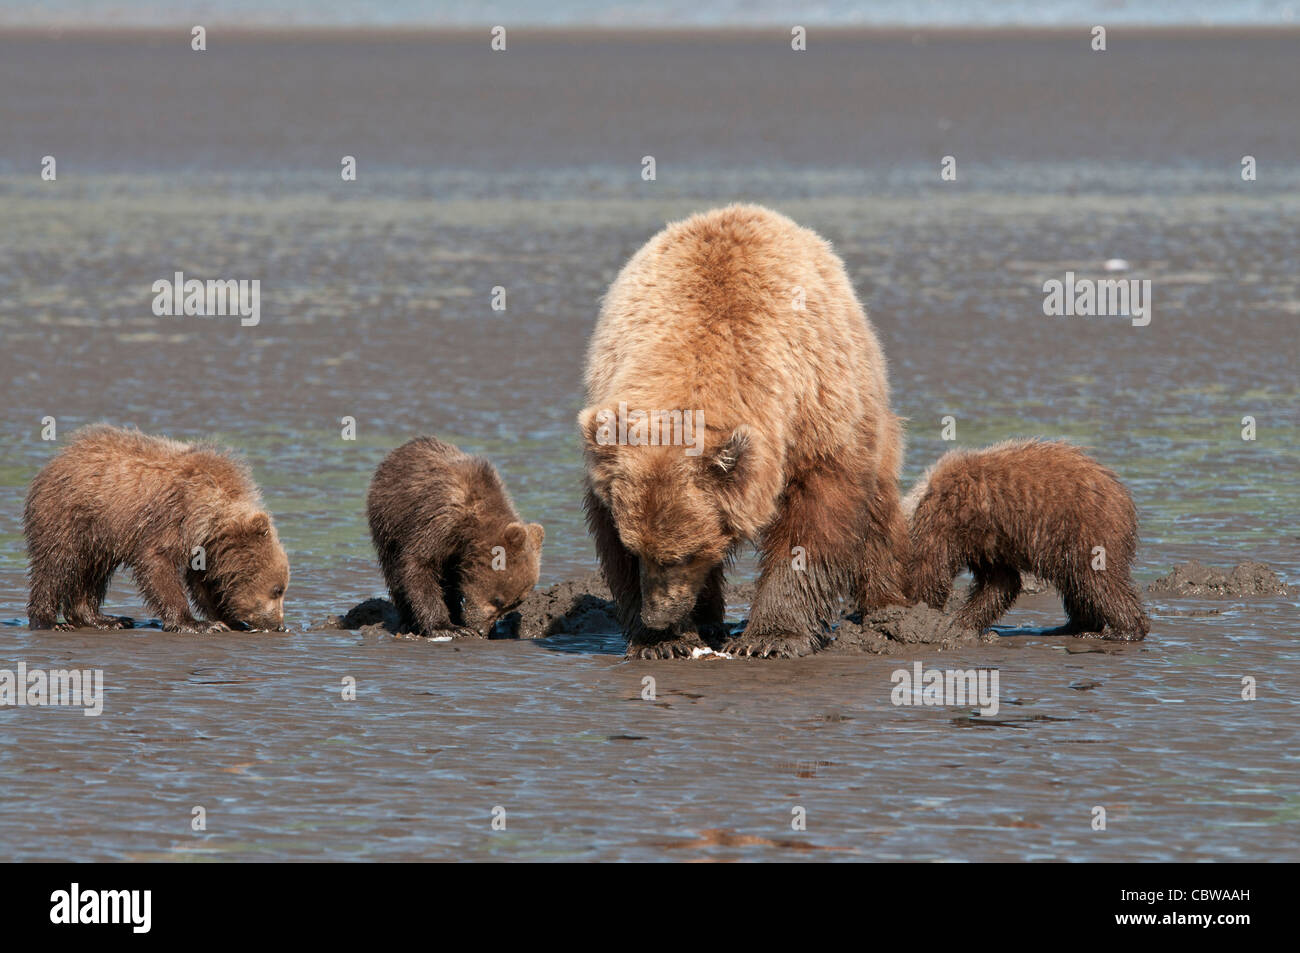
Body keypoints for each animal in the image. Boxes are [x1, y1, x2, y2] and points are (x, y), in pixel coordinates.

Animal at [24, 424, 290, 633]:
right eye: (277, 590)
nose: (279, 624)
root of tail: (59, 457)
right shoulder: (175, 516)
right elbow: (157, 562)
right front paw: (196, 623)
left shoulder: (206, 546)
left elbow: (204, 582)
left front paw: (226, 619)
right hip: (69, 514)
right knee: (57, 564)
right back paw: (49, 621)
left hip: (99, 532)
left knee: (93, 572)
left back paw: (105, 619)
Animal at [366, 436, 544, 638]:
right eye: (497, 600)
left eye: (513, 604)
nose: (482, 630)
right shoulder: (439, 519)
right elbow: (418, 565)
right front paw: (445, 626)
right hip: (389, 520)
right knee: (393, 569)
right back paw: (407, 621)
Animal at [579, 204, 909, 659]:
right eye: (638, 549)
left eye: (684, 555)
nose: (657, 616)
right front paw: (661, 642)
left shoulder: (812, 413)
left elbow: (814, 519)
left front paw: (772, 637)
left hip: (866, 406)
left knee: (877, 509)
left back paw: (889, 609)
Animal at [903, 438, 1149, 641]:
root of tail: (1121, 492)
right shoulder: (986, 542)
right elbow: (1001, 582)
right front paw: (964, 621)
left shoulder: (948, 525)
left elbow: (930, 573)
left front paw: (932, 617)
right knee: (1076, 583)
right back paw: (1072, 626)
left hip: (1085, 529)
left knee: (1098, 579)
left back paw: (1121, 630)